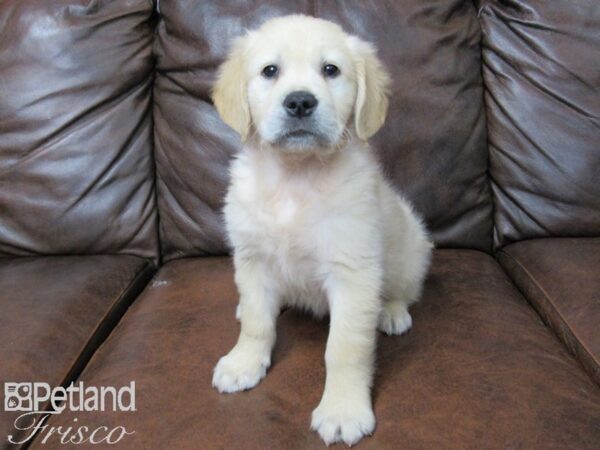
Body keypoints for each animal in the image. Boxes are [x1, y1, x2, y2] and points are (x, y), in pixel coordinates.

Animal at [211, 14, 432, 446]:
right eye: (270, 71)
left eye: (331, 70)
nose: (300, 102)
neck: (296, 177)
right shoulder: (252, 258)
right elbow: (258, 325)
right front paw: (244, 362)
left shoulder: (353, 271)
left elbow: (345, 349)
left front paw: (343, 410)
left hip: (411, 249)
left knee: (405, 290)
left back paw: (391, 312)